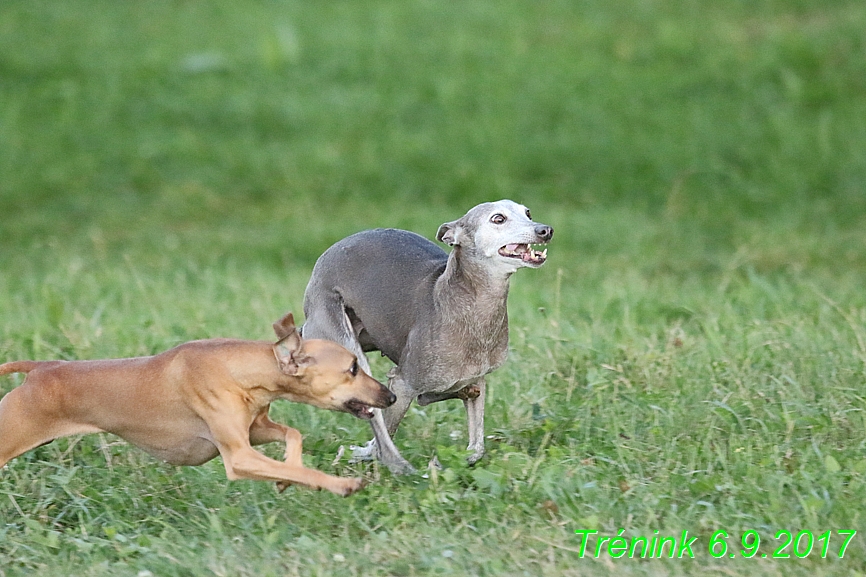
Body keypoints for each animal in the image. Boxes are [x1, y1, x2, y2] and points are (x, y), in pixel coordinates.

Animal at [0, 312, 396, 498]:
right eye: (353, 368)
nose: (390, 397)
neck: (239, 370)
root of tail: (39, 369)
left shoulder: (255, 429)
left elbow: (292, 435)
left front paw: (286, 477)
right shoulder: (240, 457)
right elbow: (307, 469)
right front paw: (341, 484)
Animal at [300, 198, 552, 472]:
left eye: (528, 213)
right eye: (498, 219)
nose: (545, 230)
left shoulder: (478, 379)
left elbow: (476, 448)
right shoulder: (403, 383)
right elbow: (384, 435)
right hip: (343, 339)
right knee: (379, 427)